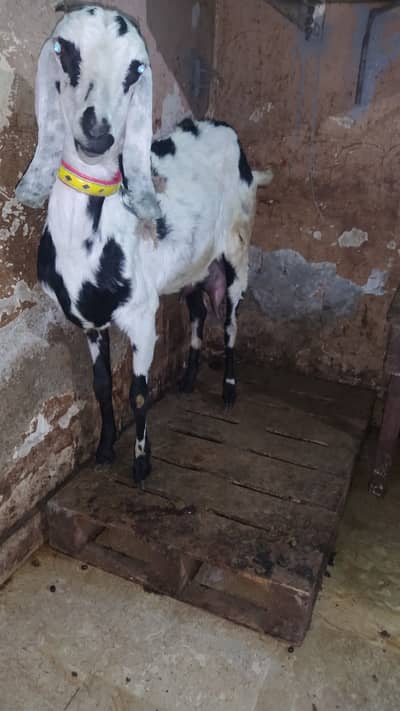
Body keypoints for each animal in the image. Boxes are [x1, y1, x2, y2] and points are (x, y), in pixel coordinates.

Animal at [15, 5, 272, 485]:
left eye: (135, 69)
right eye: (64, 50)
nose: (97, 133)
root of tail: (222, 128)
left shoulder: (141, 317)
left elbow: (138, 392)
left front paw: (140, 463)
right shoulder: (91, 323)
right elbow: (101, 388)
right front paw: (104, 450)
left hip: (237, 253)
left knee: (230, 323)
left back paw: (228, 390)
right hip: (192, 266)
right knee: (197, 310)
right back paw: (188, 380)